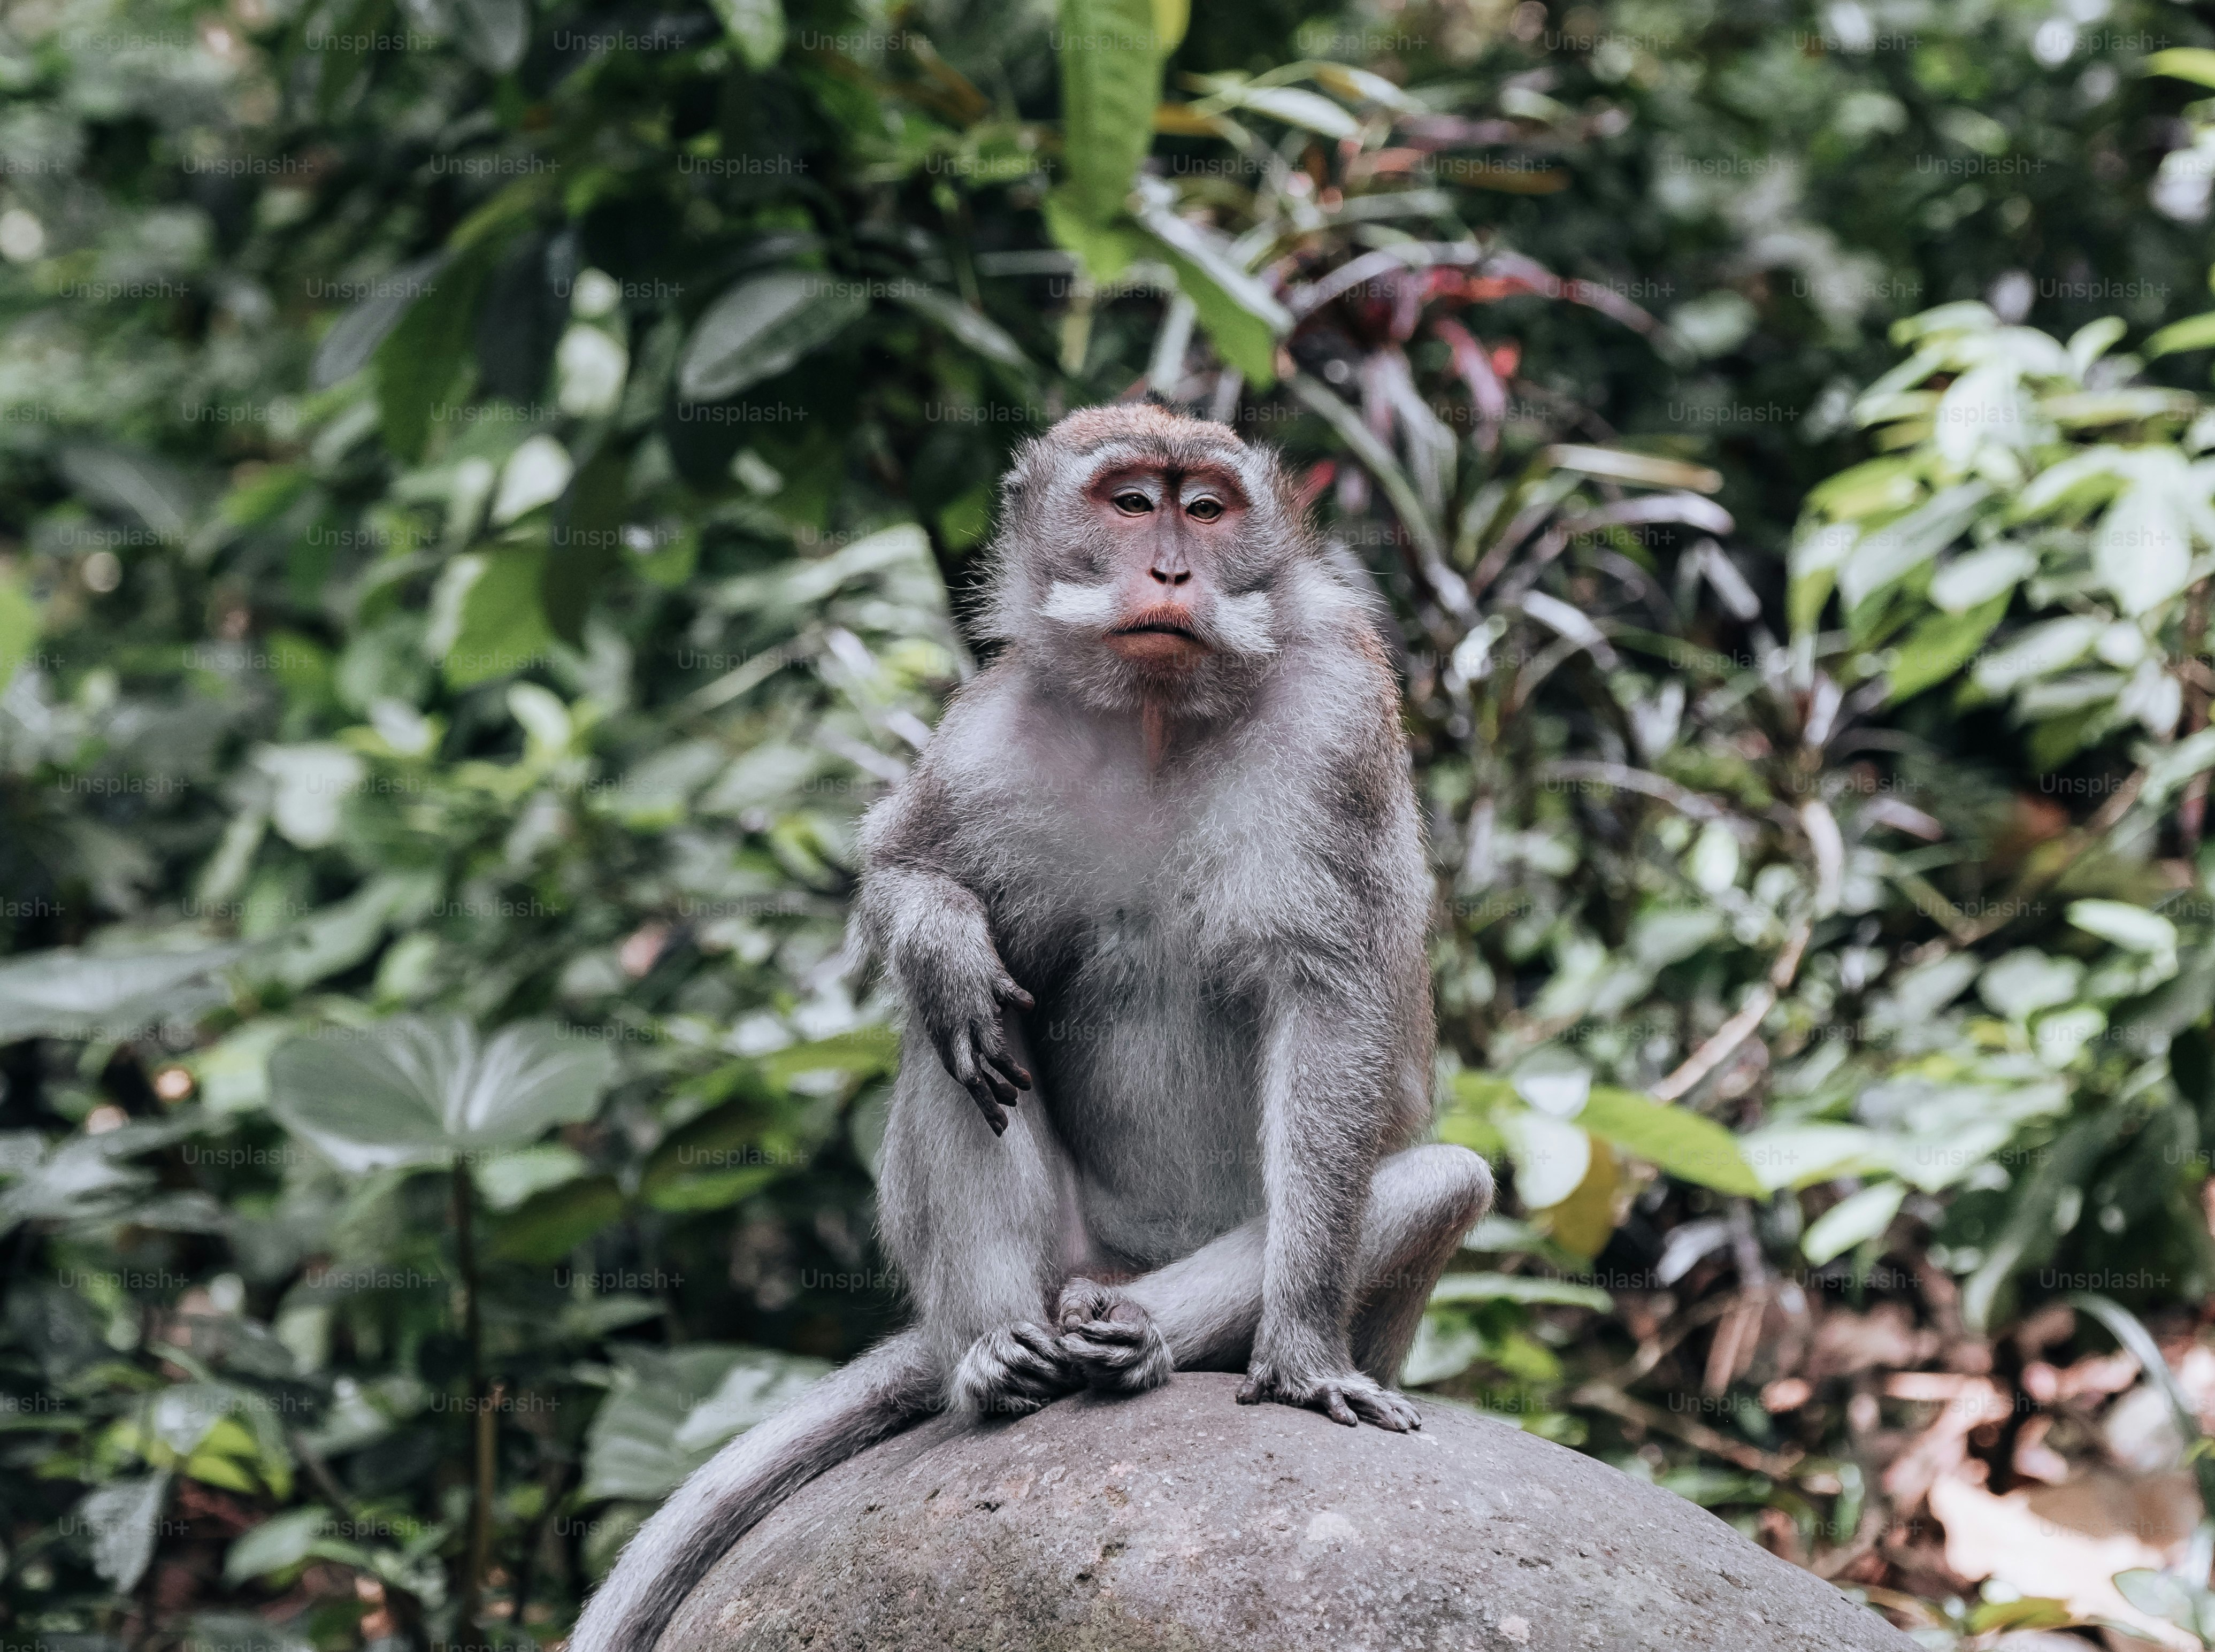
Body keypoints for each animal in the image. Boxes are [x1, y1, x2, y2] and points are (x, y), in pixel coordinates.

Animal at [580, 403, 1497, 1647]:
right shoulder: (987, 733)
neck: (1156, 716)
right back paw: (998, 1354)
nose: (1172, 570)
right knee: (959, 1046)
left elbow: (1332, 1005)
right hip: (1052, 1247)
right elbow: (906, 870)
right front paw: (942, 937)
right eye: (1131, 503)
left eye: (1206, 508)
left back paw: (1137, 1335)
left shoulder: (1339, 722)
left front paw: (1302, 1347)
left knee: (1437, 1180)